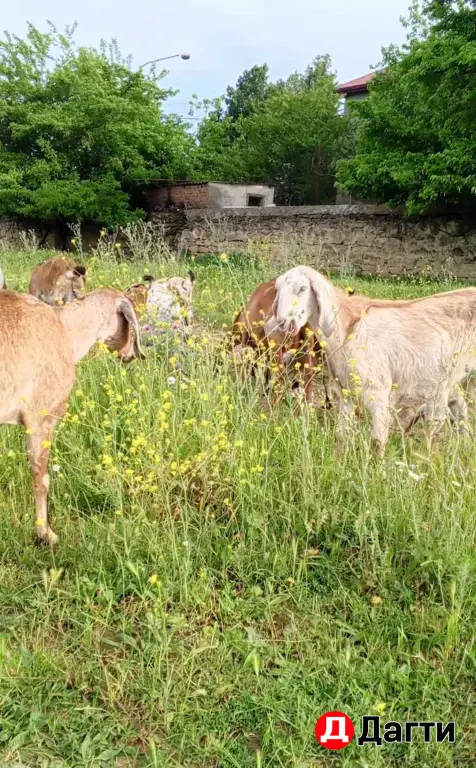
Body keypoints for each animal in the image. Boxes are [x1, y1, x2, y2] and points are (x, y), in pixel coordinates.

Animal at [274, 265, 473, 454]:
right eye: (278, 289)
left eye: (303, 288)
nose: (283, 322)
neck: (347, 328)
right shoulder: (347, 393)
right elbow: (341, 435)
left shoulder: (377, 391)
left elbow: (377, 440)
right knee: (459, 408)